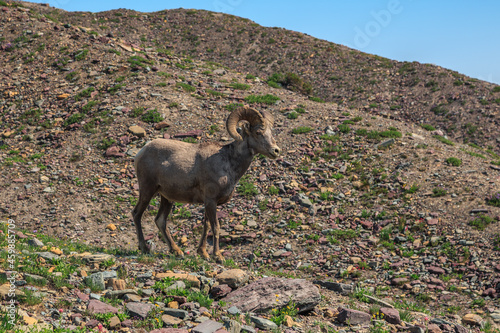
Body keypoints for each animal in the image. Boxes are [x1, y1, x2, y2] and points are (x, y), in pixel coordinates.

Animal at [132, 105, 282, 260]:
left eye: (270, 132)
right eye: (258, 132)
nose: (276, 151)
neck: (228, 162)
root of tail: (141, 152)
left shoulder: (208, 203)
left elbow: (207, 226)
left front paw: (203, 253)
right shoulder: (211, 200)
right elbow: (216, 227)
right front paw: (217, 256)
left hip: (166, 198)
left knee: (160, 220)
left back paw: (177, 251)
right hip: (148, 189)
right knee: (137, 214)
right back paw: (144, 248)